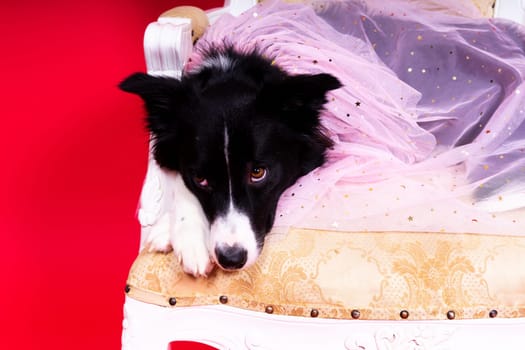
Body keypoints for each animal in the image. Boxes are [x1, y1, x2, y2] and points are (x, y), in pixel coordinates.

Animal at [118, 46, 340, 276]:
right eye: (201, 179)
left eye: (258, 173)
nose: (231, 259)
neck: (230, 72)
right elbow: (182, 184)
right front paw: (189, 238)